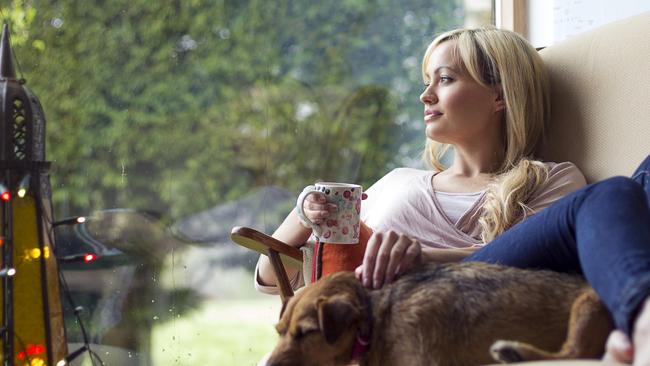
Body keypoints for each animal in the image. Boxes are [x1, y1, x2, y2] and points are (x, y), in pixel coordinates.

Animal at [264, 262, 612, 364]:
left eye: (307, 333)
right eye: (279, 332)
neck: (376, 321)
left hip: (587, 304)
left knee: (575, 352)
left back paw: (513, 351)